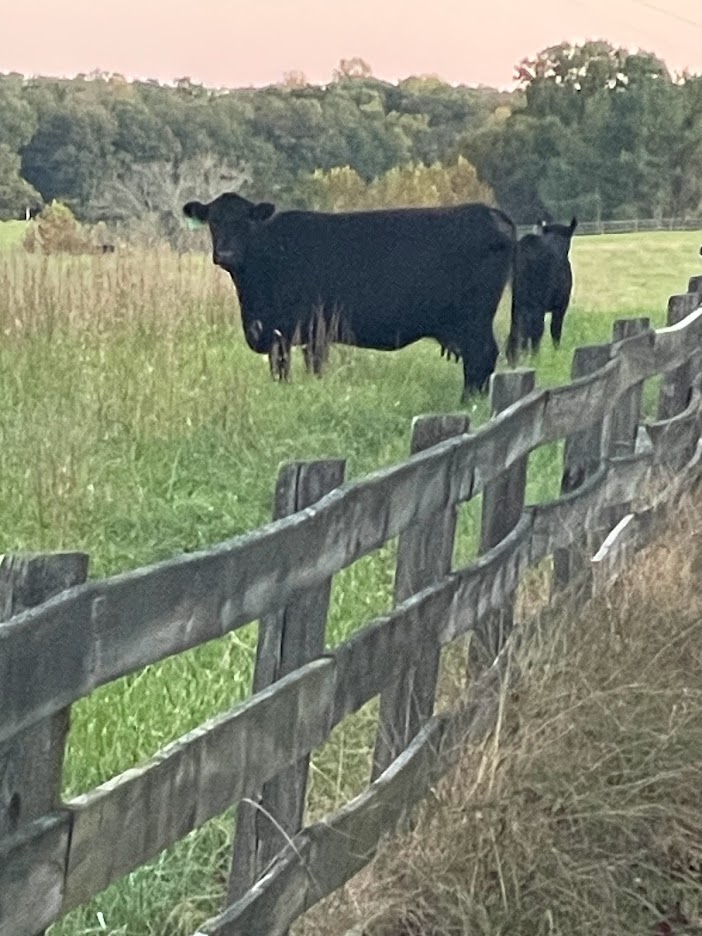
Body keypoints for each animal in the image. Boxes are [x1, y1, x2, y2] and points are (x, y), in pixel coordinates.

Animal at [183, 192, 517, 399]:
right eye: (213, 222)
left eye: (245, 222)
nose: (226, 254)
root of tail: (491, 212)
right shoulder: (279, 335)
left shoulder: (310, 332)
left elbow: (308, 369)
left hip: (474, 320)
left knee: (481, 356)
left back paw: (468, 401)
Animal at [506, 217, 577, 364]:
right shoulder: (561, 305)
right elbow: (555, 329)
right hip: (536, 303)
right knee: (535, 328)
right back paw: (533, 357)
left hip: (518, 302)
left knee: (518, 329)